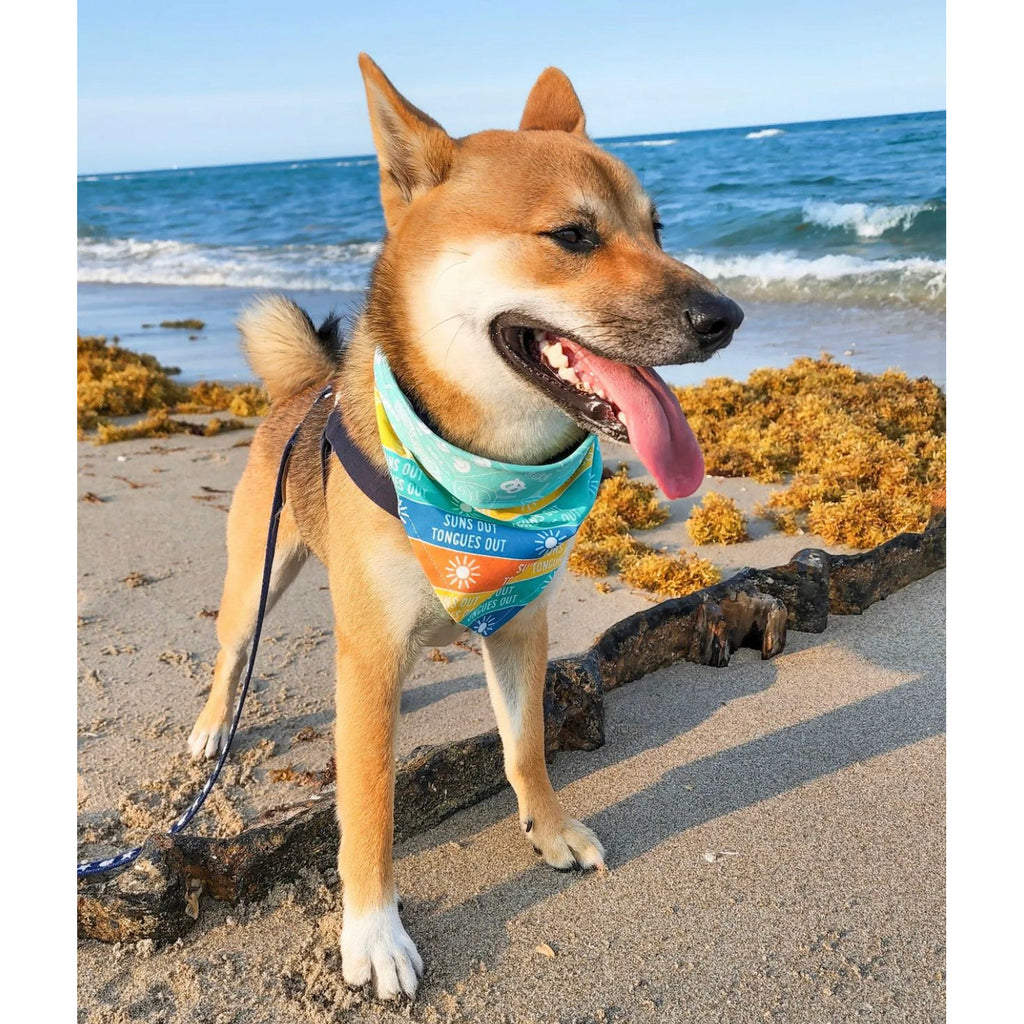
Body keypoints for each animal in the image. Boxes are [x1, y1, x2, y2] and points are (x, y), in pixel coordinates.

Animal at [188, 54, 741, 999]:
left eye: (658, 226)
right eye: (573, 235)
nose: (727, 317)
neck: (484, 482)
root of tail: (304, 389)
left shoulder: (519, 626)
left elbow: (526, 750)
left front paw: (548, 831)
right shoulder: (370, 662)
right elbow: (369, 807)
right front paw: (374, 934)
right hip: (254, 580)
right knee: (231, 657)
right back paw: (211, 728)